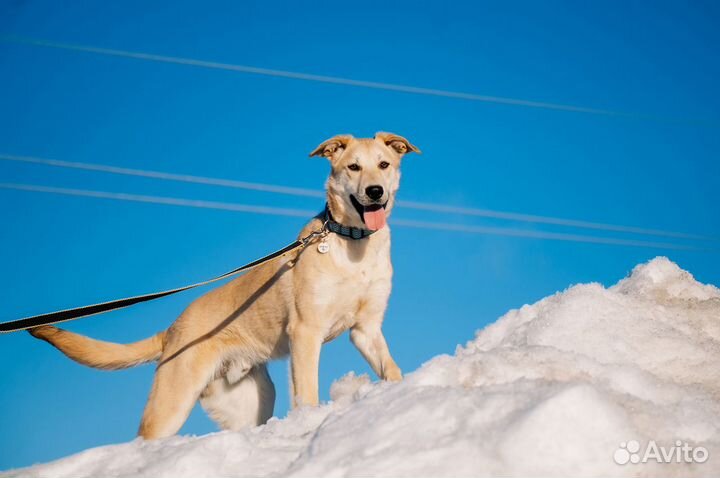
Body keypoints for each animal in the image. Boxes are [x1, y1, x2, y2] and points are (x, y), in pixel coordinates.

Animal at [29, 133, 422, 438]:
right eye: (353, 167)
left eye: (384, 164)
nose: (375, 191)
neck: (351, 242)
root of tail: (172, 331)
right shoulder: (306, 332)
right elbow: (307, 392)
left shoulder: (366, 329)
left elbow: (390, 368)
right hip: (173, 400)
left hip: (251, 398)